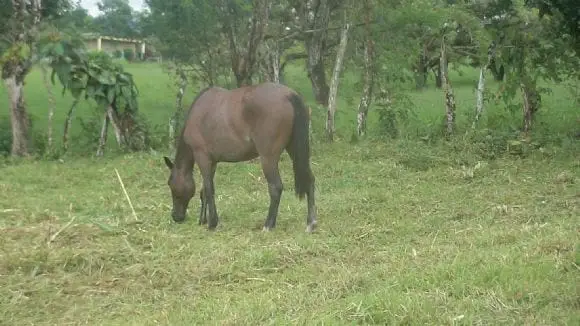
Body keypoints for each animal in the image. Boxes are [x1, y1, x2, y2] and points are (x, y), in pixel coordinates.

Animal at [163, 83, 318, 233]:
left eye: (170, 183)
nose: (176, 216)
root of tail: (289, 95)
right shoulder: (212, 162)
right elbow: (204, 191)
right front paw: (204, 220)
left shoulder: (203, 157)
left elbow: (208, 188)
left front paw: (212, 223)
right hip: (293, 149)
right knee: (309, 180)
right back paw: (310, 223)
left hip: (268, 158)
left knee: (275, 187)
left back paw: (268, 225)